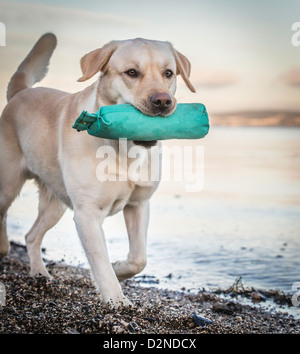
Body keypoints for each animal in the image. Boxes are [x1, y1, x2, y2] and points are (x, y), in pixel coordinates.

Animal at [0, 33, 196, 306]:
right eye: (132, 72)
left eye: (168, 73)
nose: (163, 101)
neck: (124, 149)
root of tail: (21, 93)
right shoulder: (87, 214)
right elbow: (100, 262)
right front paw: (117, 301)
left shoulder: (139, 205)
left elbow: (139, 259)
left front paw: (119, 268)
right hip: (7, 185)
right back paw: (3, 247)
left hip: (55, 204)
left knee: (31, 236)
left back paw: (40, 273)